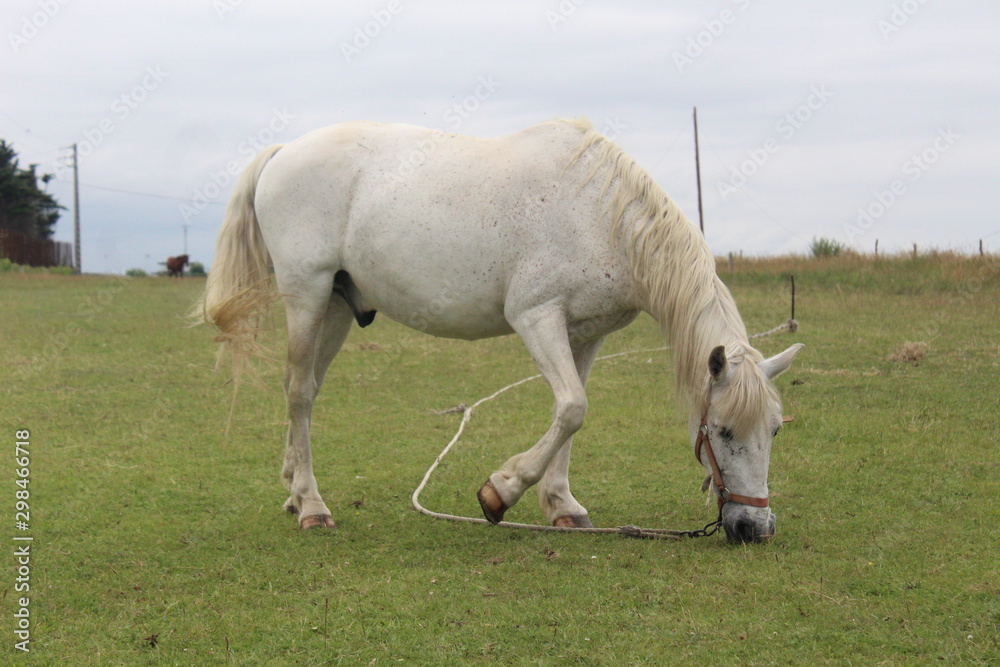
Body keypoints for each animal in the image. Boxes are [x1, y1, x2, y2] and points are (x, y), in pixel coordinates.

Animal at [198, 118, 803, 543]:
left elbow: (574, 413)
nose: (755, 530)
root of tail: (283, 152)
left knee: (304, 390)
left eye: (775, 431)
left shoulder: (586, 334)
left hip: (337, 307)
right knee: (299, 392)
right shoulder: (536, 317)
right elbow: (572, 408)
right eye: (722, 431)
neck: (603, 218)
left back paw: (294, 493)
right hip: (306, 294)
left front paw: (562, 506)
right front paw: (500, 492)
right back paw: (312, 506)